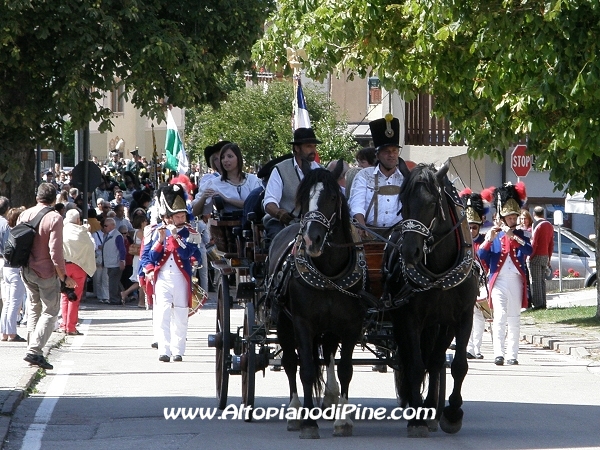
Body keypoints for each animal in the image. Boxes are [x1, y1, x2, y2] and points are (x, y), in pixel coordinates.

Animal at [268, 163, 366, 440]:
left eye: (333, 197)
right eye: (302, 199)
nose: (313, 239)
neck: (329, 273)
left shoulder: (350, 325)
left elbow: (345, 369)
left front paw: (343, 420)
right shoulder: (302, 323)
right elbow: (307, 369)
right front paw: (308, 423)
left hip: (329, 328)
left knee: (328, 355)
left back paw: (329, 399)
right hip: (283, 322)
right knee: (291, 363)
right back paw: (295, 412)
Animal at [384, 162, 478, 436]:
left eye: (431, 202)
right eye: (403, 201)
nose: (409, 251)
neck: (439, 271)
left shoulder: (462, 318)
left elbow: (456, 365)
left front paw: (452, 413)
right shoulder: (409, 319)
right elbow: (415, 366)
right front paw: (416, 419)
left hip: (439, 325)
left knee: (435, 361)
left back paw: (431, 409)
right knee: (412, 360)